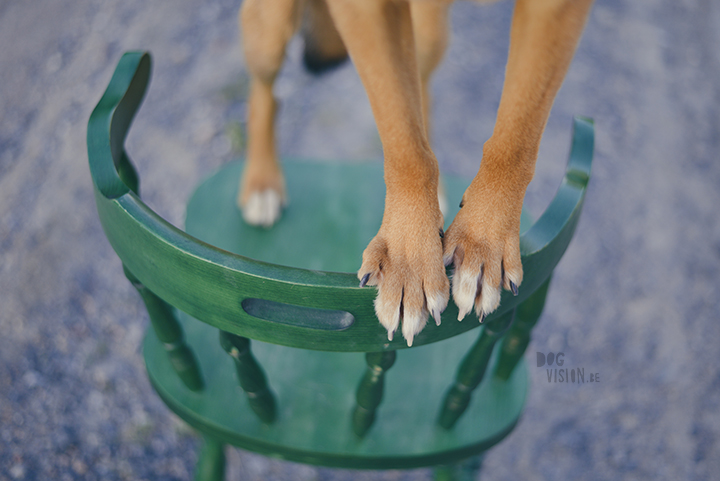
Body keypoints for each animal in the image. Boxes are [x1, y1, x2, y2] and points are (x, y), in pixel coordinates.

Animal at [239, 0, 592, 344]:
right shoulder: (367, 11)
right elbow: (403, 138)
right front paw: (408, 262)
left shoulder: (555, 10)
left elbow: (518, 130)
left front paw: (482, 241)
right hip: (271, 32)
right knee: (264, 93)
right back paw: (261, 183)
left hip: (428, 31)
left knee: (421, 87)